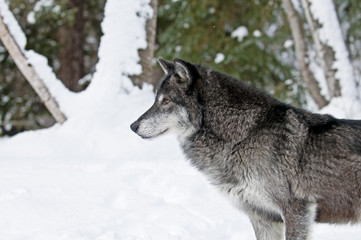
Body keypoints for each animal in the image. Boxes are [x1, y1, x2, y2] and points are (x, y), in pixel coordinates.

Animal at [130, 58, 360, 240]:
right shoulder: (262, 218)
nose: (133, 126)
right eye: (156, 100)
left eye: (166, 101)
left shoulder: (296, 210)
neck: (244, 134)